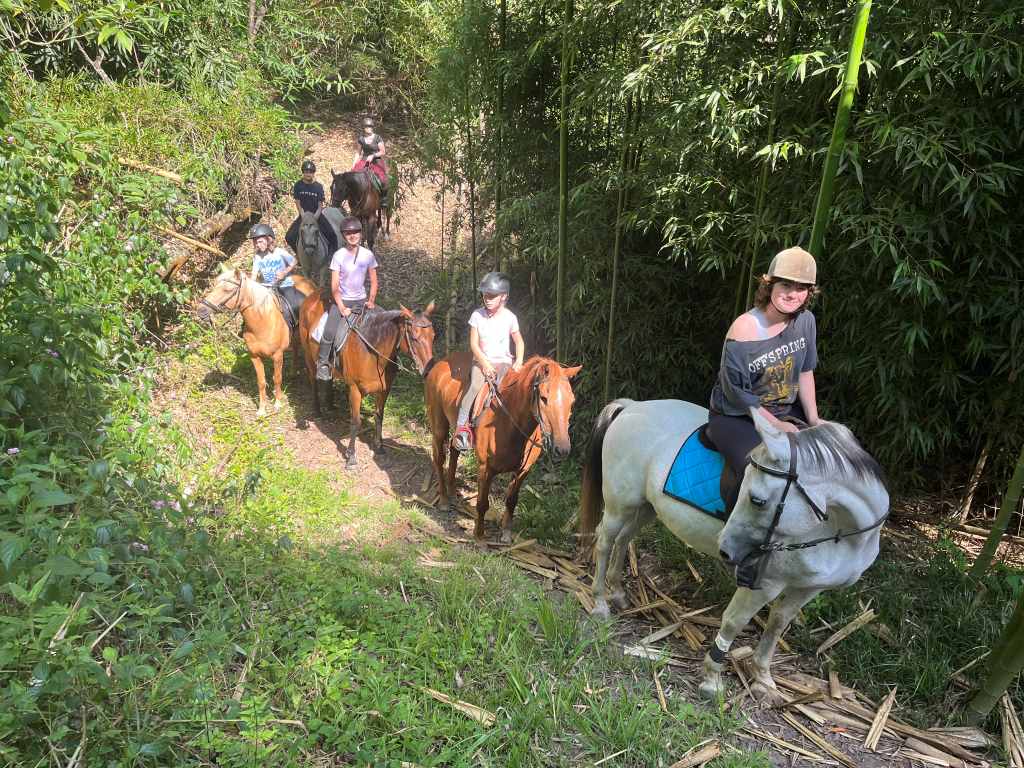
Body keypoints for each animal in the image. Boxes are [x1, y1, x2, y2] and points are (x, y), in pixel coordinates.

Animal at [196, 267, 316, 417]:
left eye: (228, 290)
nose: (201, 310)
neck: (262, 321)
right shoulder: (254, 356)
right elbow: (261, 382)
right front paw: (262, 409)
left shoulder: (277, 355)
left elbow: (277, 378)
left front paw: (277, 403)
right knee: (294, 347)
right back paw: (293, 373)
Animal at [298, 297, 436, 468]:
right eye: (414, 338)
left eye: (433, 336)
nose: (429, 370)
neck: (374, 350)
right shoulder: (355, 389)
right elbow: (355, 422)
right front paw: (351, 456)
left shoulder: (384, 390)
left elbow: (379, 416)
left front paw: (380, 447)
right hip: (309, 357)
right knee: (313, 381)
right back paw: (317, 410)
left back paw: (330, 405)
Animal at [424, 353, 583, 544]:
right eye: (544, 398)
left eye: (572, 401)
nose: (562, 449)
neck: (511, 423)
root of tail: (440, 363)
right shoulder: (485, 468)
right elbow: (482, 503)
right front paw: (479, 535)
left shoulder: (523, 471)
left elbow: (511, 500)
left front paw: (506, 533)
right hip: (439, 427)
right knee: (439, 459)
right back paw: (444, 500)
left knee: (454, 452)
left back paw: (453, 492)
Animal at [578, 399, 889, 700]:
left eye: (757, 500)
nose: (726, 551)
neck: (843, 533)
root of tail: (632, 406)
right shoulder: (764, 582)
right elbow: (734, 622)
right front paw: (712, 680)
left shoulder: (809, 587)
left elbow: (778, 623)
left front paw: (763, 678)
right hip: (621, 503)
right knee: (605, 541)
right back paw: (600, 603)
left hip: (645, 506)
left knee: (624, 540)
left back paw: (618, 593)